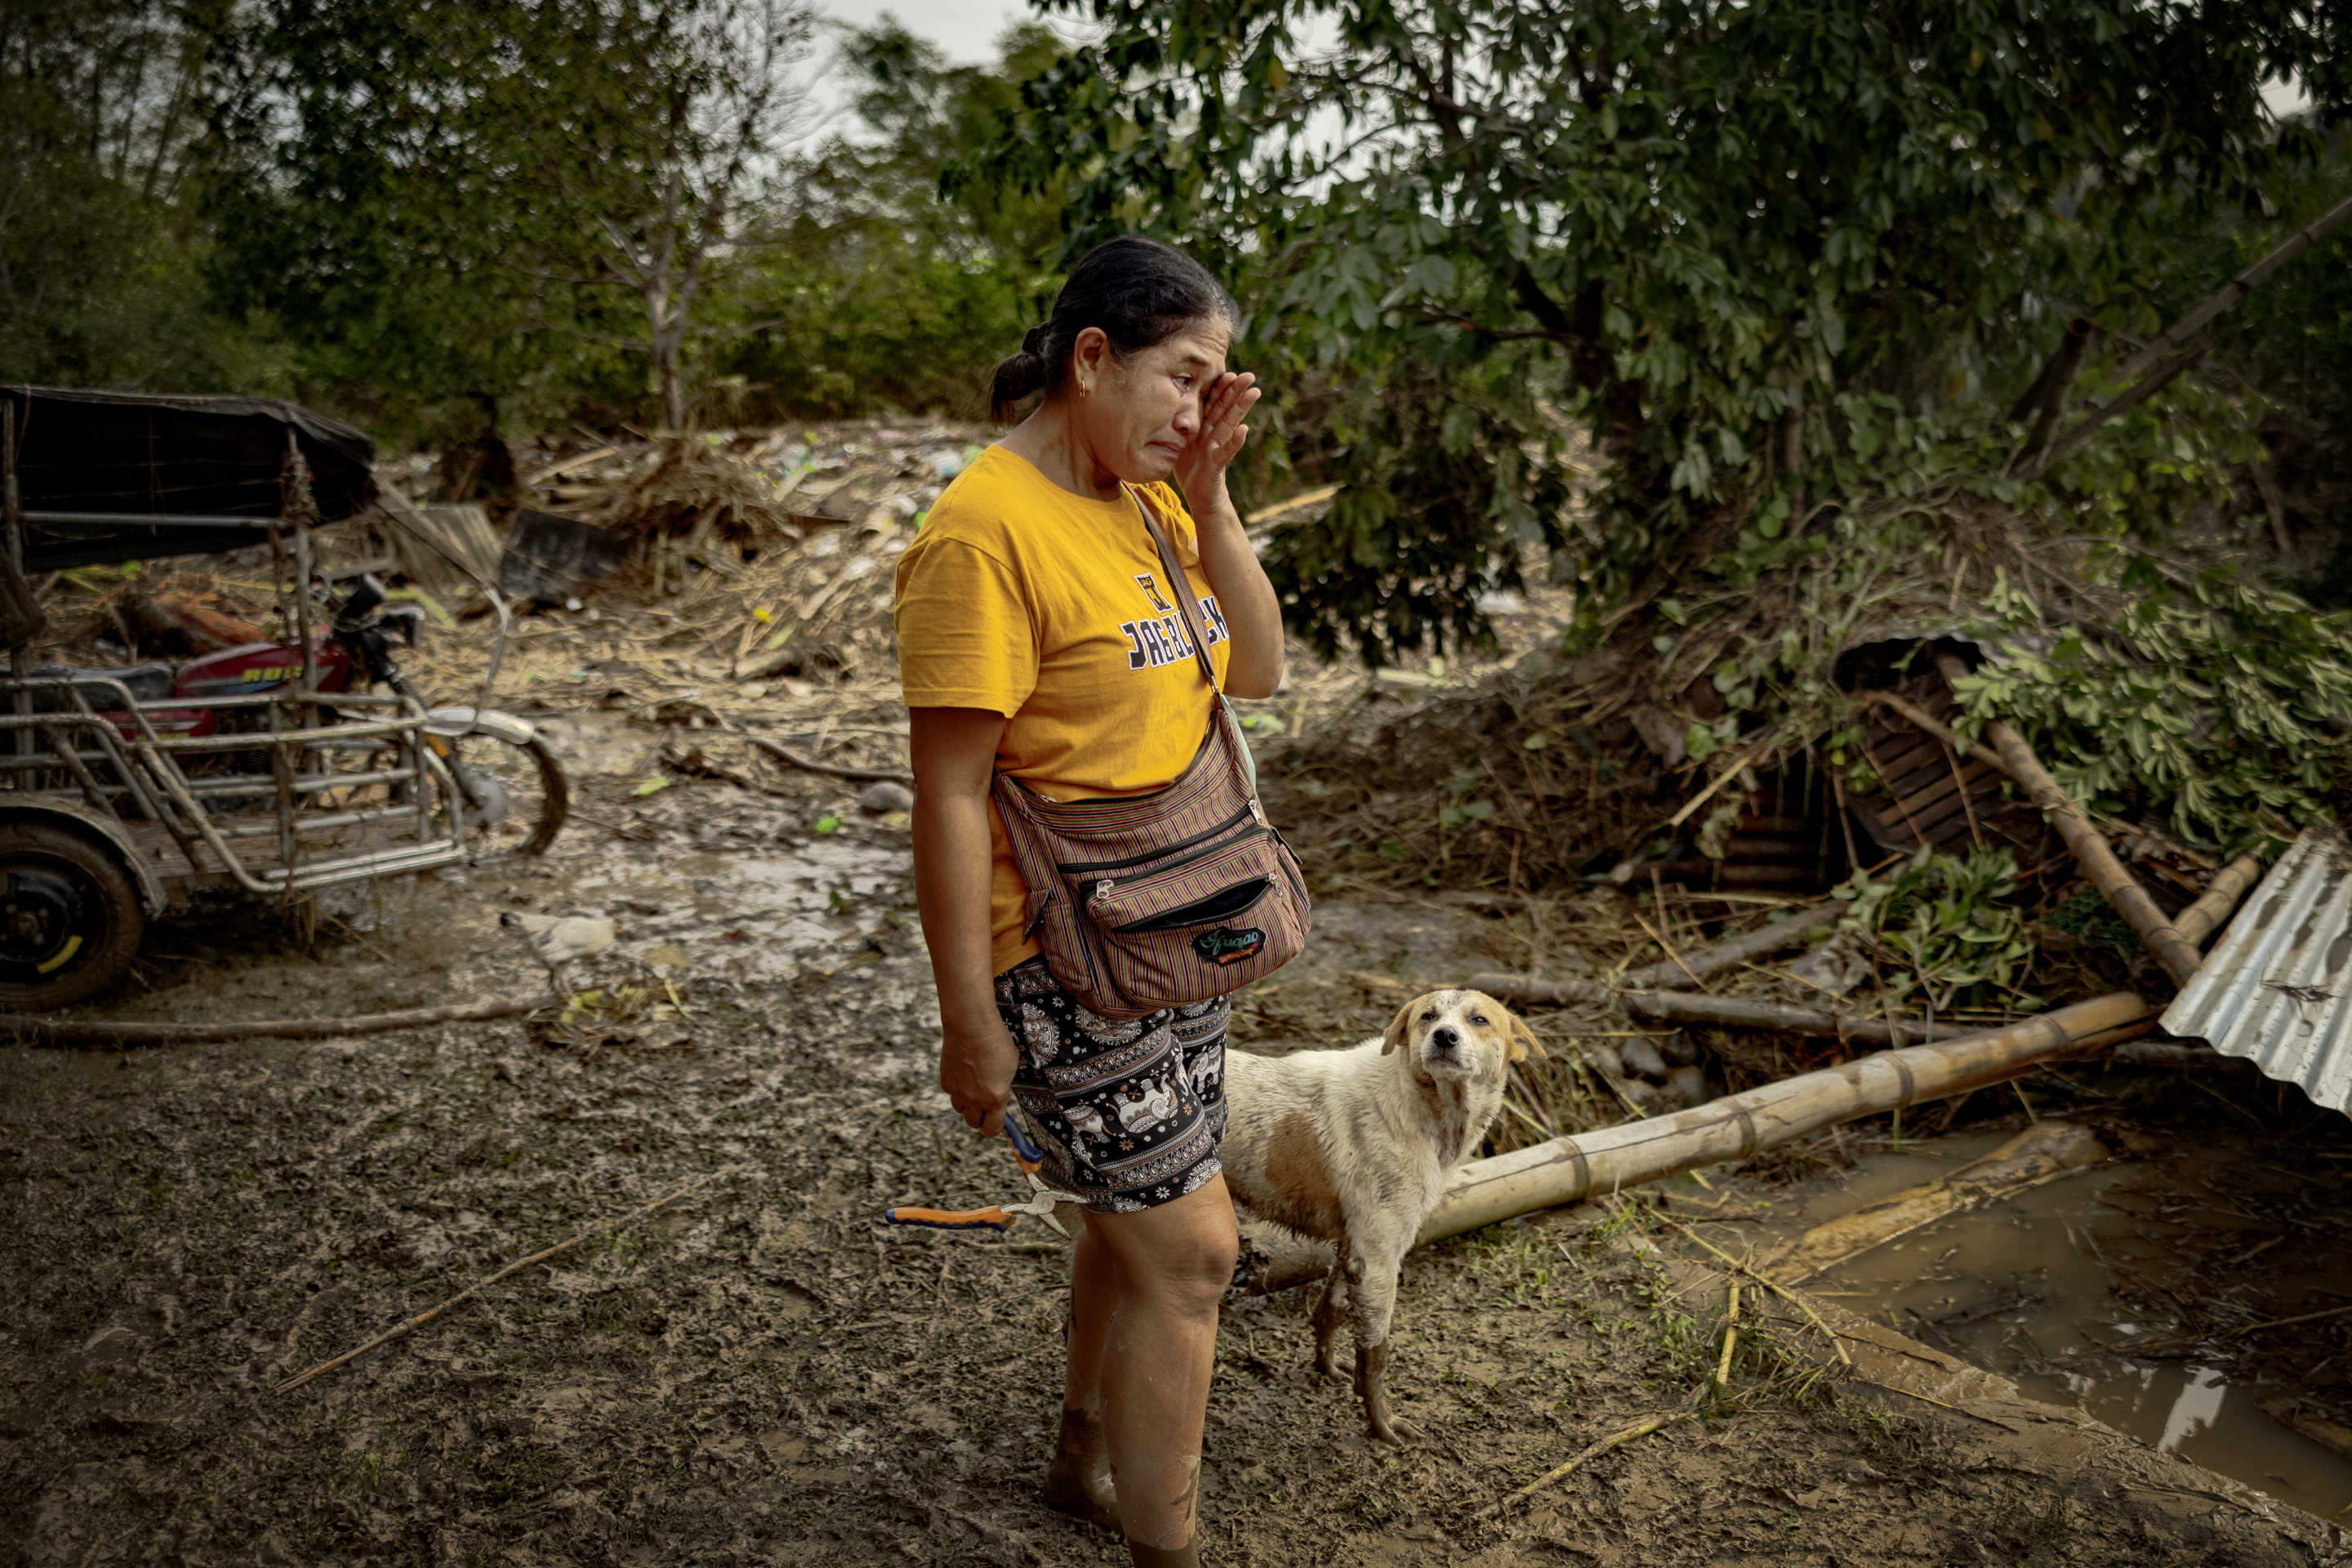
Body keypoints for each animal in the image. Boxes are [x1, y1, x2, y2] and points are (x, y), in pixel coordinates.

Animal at [1223, 991, 1533, 1448]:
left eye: (1480, 1019)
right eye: (1428, 1016)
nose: (1444, 1036)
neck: (1422, 1103)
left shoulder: (1354, 1249)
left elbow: (1329, 1312)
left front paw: (1328, 1369)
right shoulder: (1378, 1261)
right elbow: (1376, 1356)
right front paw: (1381, 1424)